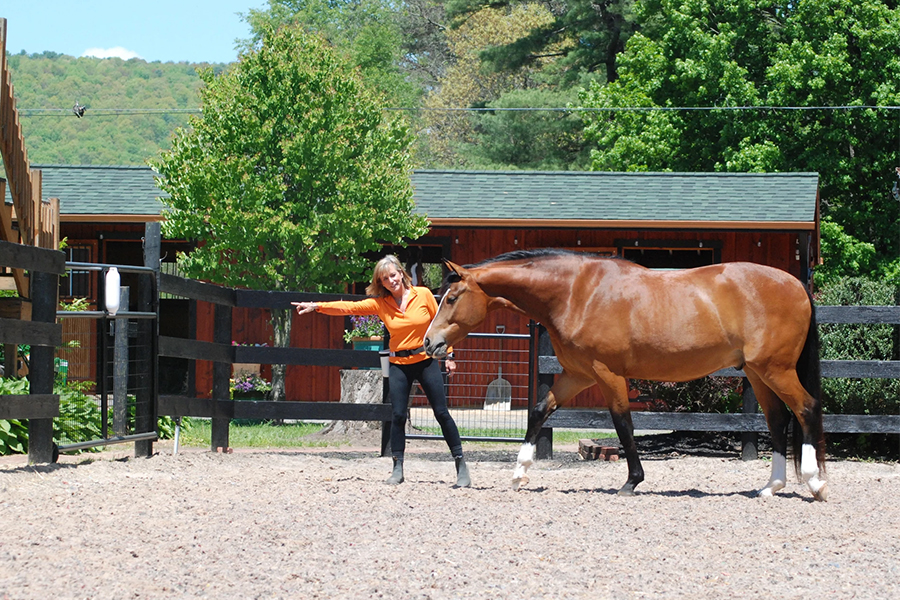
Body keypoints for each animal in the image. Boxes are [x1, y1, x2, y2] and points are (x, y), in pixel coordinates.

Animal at [426, 248, 828, 502]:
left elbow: (623, 424)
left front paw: (632, 482)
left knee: (806, 409)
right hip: (759, 374)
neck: (576, 293)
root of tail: (796, 285)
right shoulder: (577, 374)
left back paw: (814, 483)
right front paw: (519, 473)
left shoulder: (608, 374)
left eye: (451, 298)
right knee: (778, 420)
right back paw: (770, 487)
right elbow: (539, 411)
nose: (430, 343)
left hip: (775, 370)